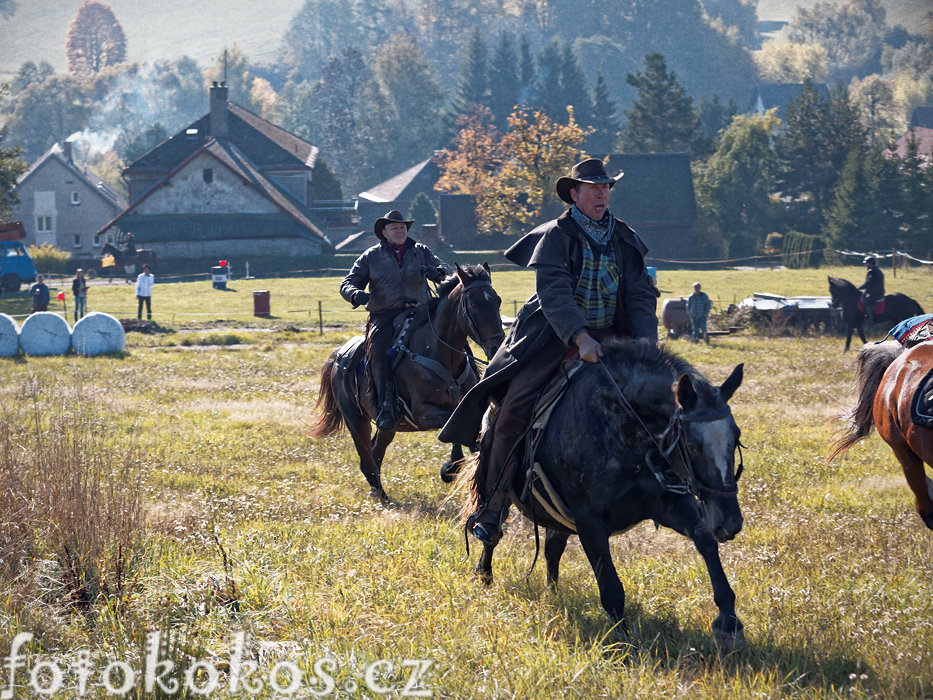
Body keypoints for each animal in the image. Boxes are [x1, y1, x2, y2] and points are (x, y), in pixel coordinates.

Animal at [310, 264, 502, 504]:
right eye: (474, 304)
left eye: (497, 301)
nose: (497, 346)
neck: (440, 354)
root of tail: (338, 355)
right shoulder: (423, 413)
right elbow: (452, 426)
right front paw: (450, 469)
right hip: (356, 420)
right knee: (367, 460)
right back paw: (381, 497)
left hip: (389, 427)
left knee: (376, 452)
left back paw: (379, 494)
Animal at [464, 340, 744, 644]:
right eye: (692, 446)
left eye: (736, 438)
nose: (731, 522)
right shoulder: (590, 524)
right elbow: (610, 586)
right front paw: (623, 639)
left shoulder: (672, 505)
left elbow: (705, 541)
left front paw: (729, 621)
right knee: (493, 532)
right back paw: (484, 574)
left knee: (552, 548)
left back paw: (553, 593)